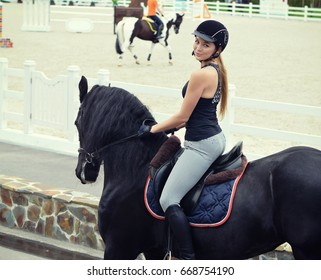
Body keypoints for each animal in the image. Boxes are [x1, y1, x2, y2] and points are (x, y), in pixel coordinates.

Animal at [75, 76, 321, 258]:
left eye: (77, 122)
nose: (84, 171)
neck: (137, 167)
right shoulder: (153, 251)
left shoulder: (119, 247)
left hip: (306, 250)